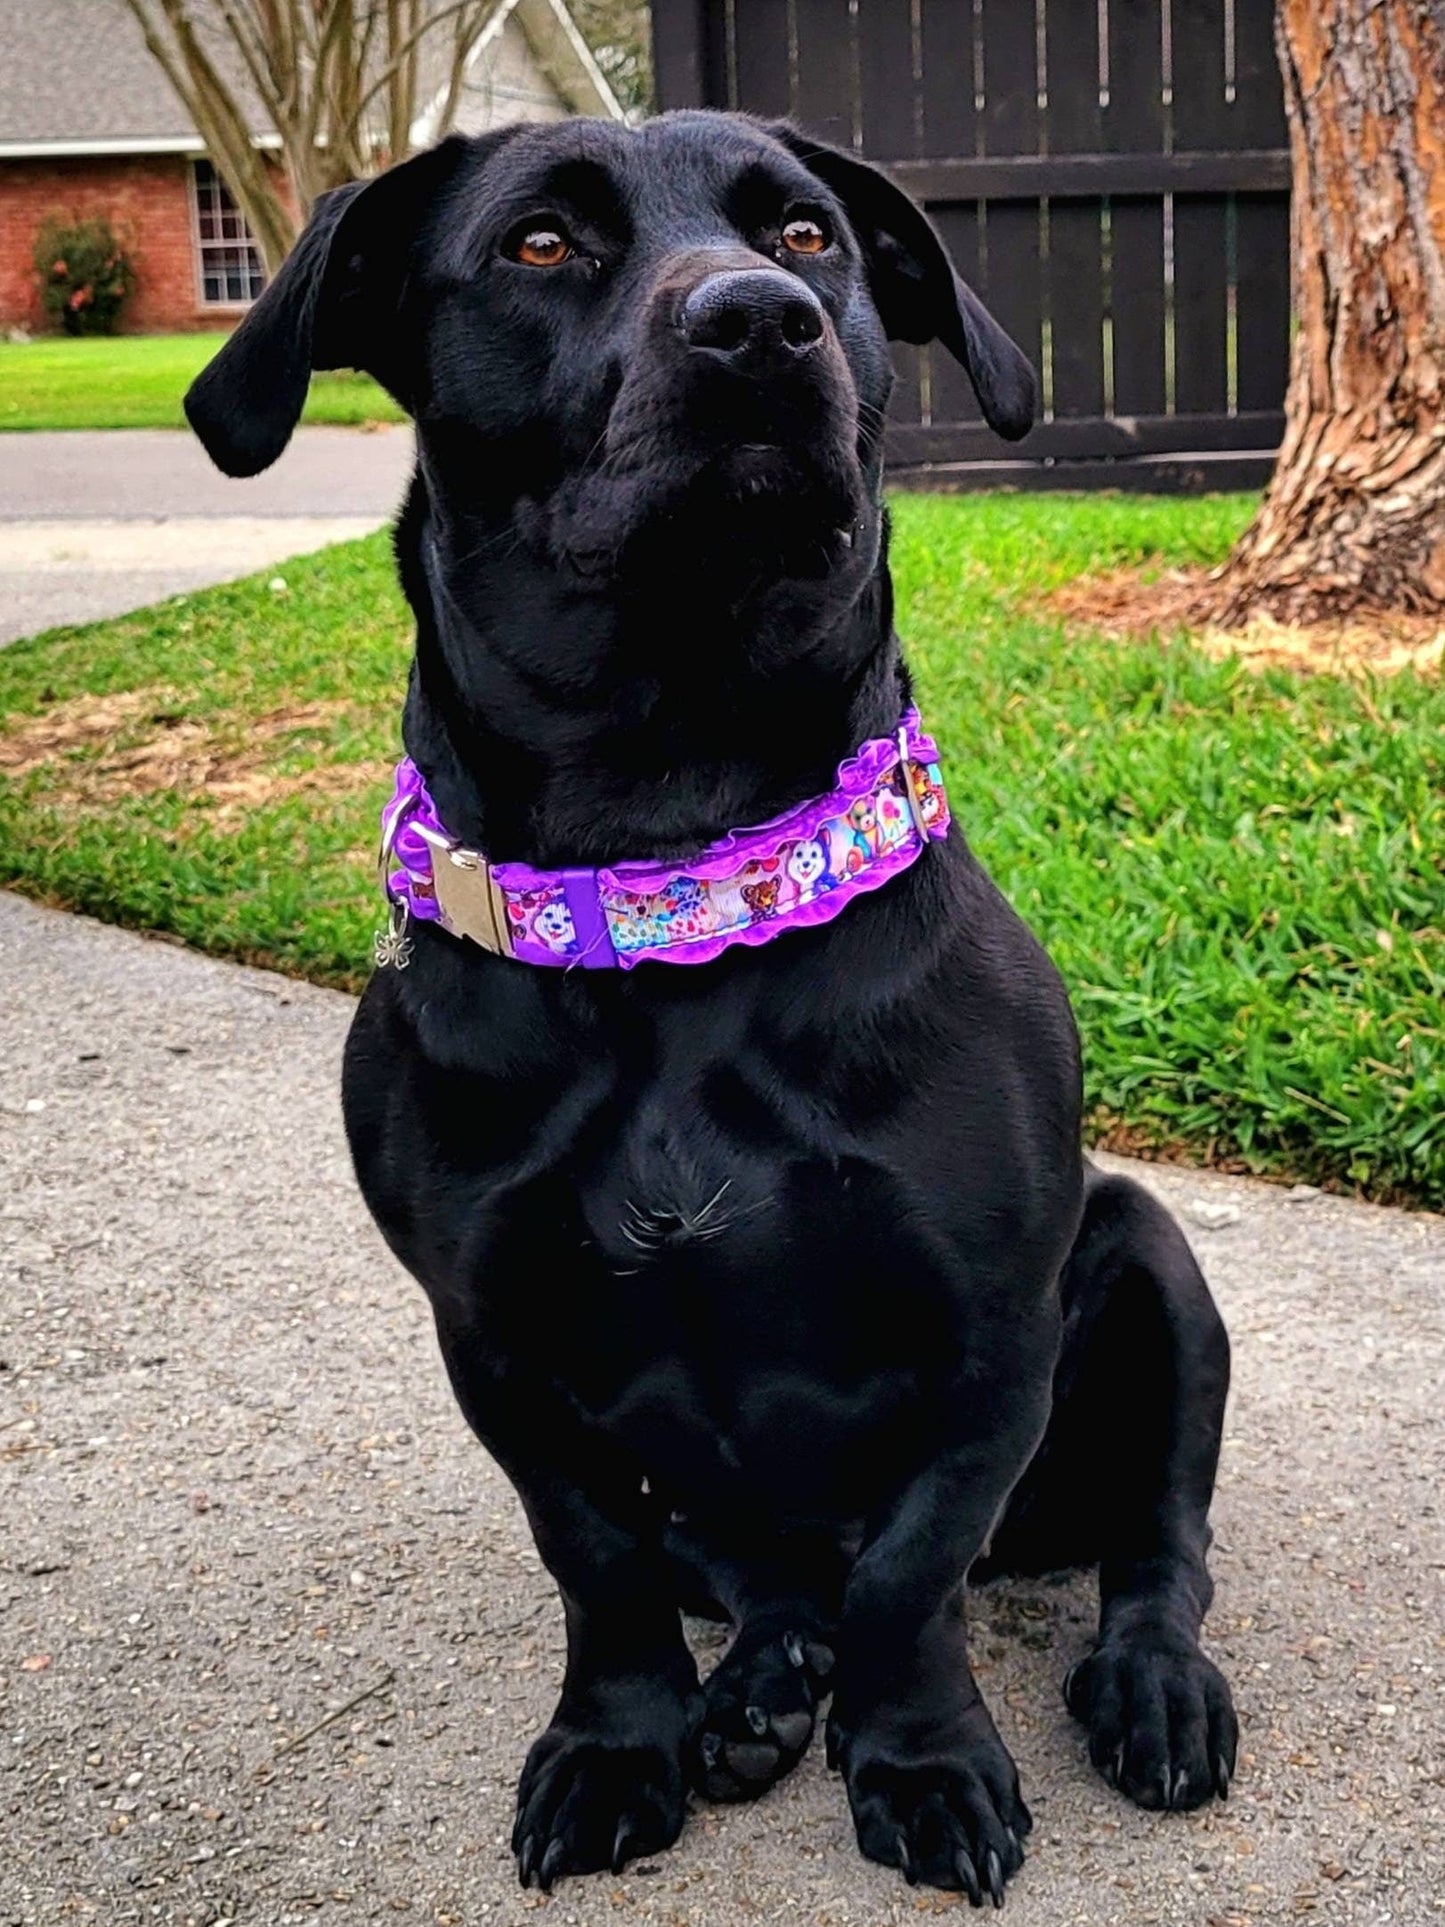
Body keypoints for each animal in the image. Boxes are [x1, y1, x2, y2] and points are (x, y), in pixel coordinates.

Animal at [186, 112, 1240, 1903]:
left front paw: (923, 1757)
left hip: (1156, 1269)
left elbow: (909, 1576)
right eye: (540, 244)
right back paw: (752, 1687)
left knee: (1155, 1540)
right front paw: (623, 1741)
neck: (674, 854)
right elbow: (598, 1561)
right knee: (762, 1573)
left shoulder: (988, 1340)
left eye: (807, 232)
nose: (757, 323)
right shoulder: (498, 1345)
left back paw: (1147, 1680)